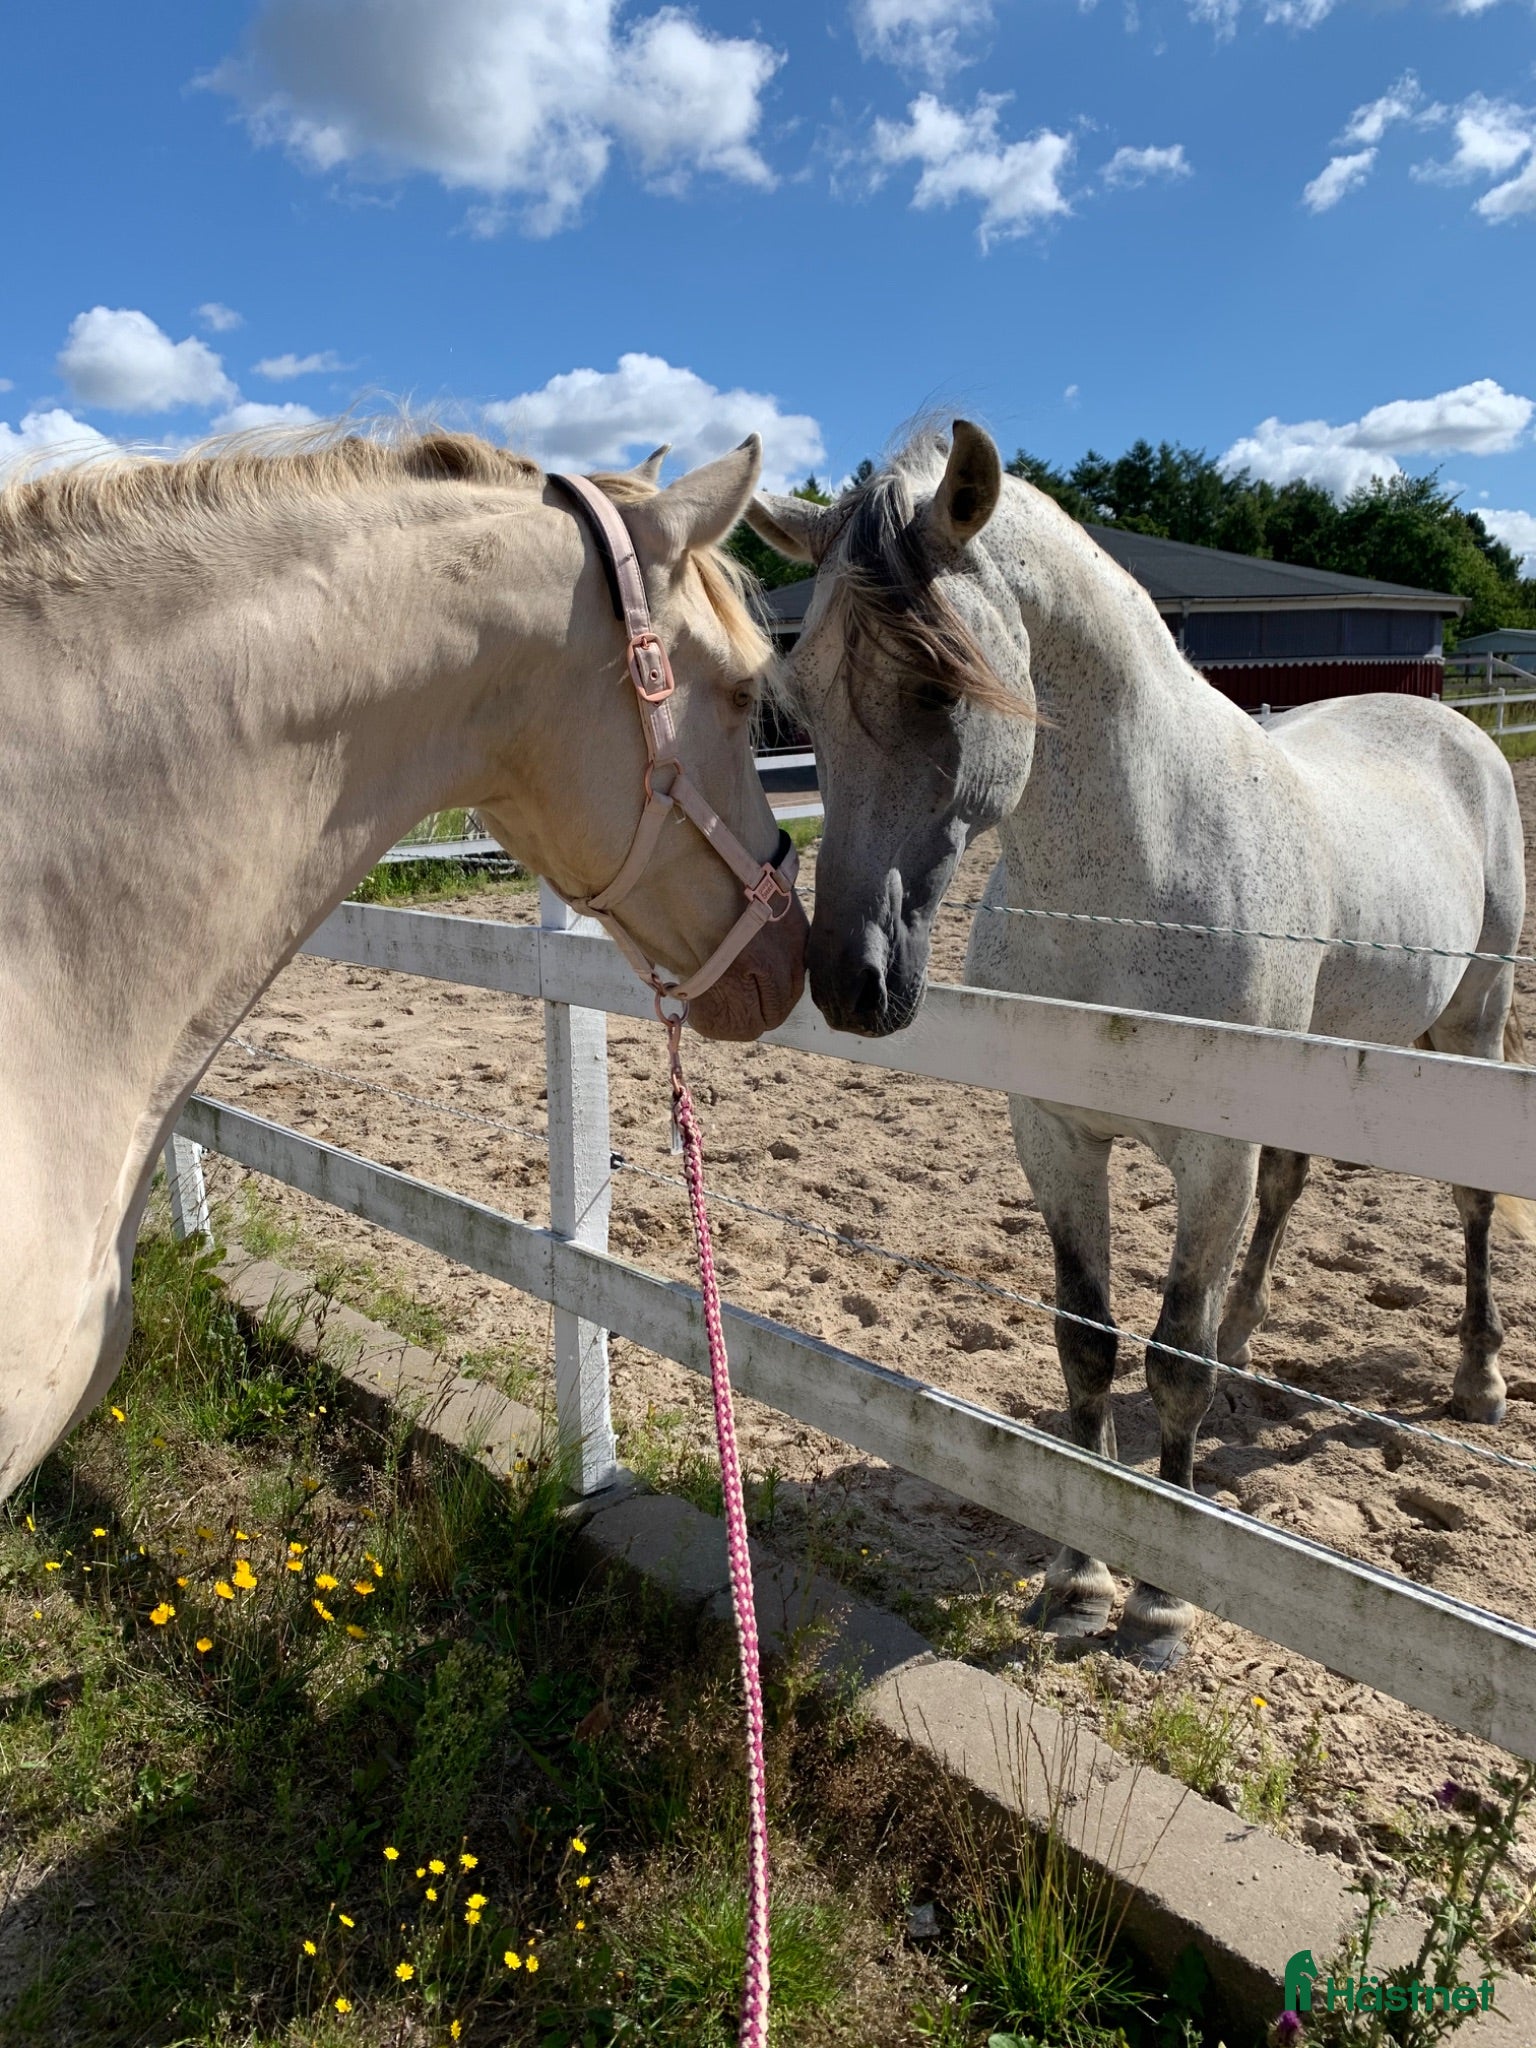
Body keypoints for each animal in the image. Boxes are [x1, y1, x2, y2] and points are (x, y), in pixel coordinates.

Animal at [747, 420, 1532, 1668]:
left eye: (938, 685)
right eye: (803, 700)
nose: (850, 980)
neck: (1132, 878)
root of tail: (1454, 725)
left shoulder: (1208, 1153)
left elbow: (1171, 1359)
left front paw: (1160, 1600)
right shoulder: (1058, 1135)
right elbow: (1087, 1343)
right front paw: (1079, 1577)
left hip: (1470, 1031)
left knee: (1466, 1203)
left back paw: (1478, 1374)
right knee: (1289, 1190)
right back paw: (1257, 1338)